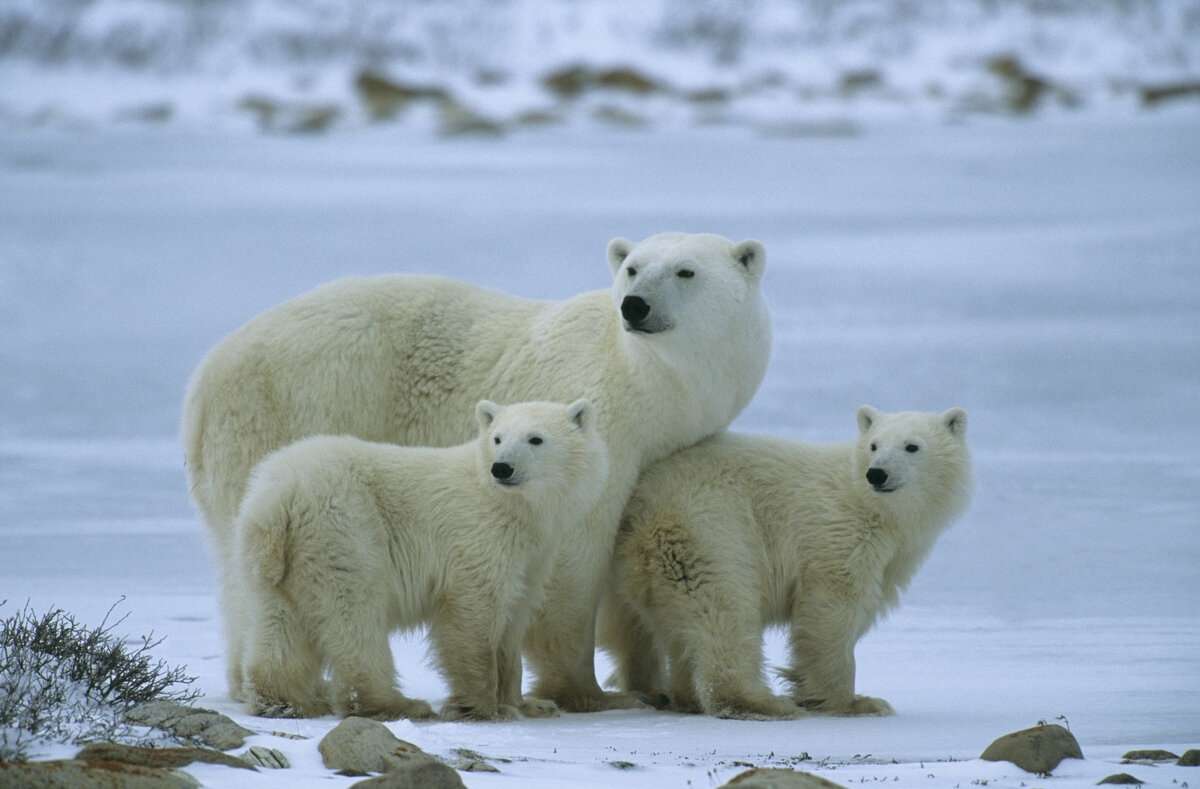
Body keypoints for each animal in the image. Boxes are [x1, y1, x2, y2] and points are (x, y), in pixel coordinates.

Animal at [182, 230, 772, 709]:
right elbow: (575, 559)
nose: (635, 306)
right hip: (287, 410)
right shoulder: (601, 418)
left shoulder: (664, 440)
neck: (652, 384)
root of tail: (203, 380)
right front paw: (590, 693)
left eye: (685, 271)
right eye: (632, 268)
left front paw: (649, 681)